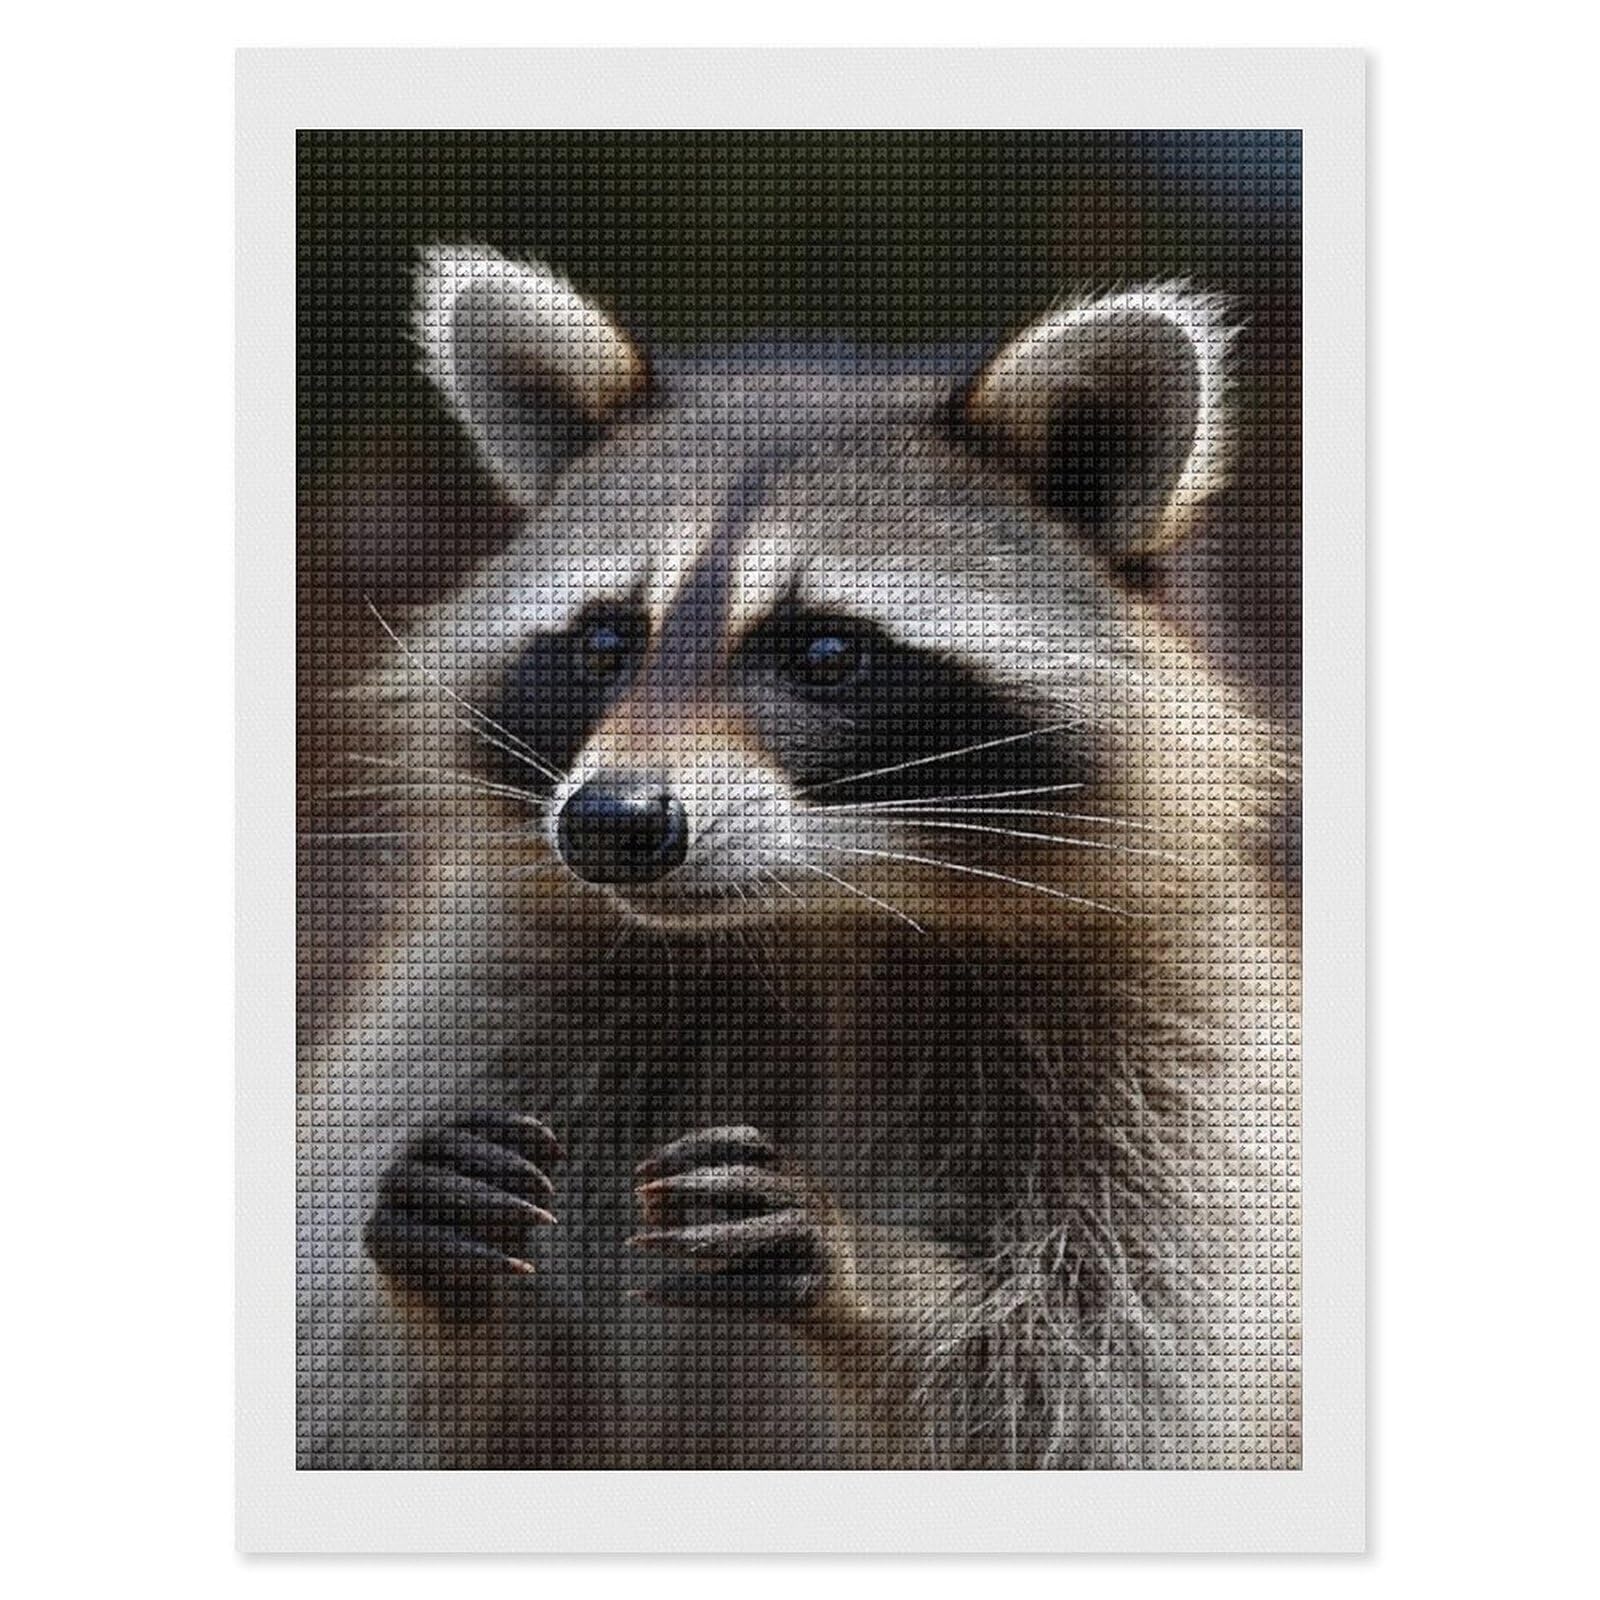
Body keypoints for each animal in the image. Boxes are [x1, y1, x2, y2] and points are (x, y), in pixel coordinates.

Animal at [296, 245, 1300, 1470]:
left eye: (824, 650)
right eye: (604, 639)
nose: (610, 822)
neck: (818, 927)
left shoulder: (1178, 1066)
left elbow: (1096, 1381)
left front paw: (875, 1277)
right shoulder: (487, 1008)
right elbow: (369, 1400)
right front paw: (440, 1301)